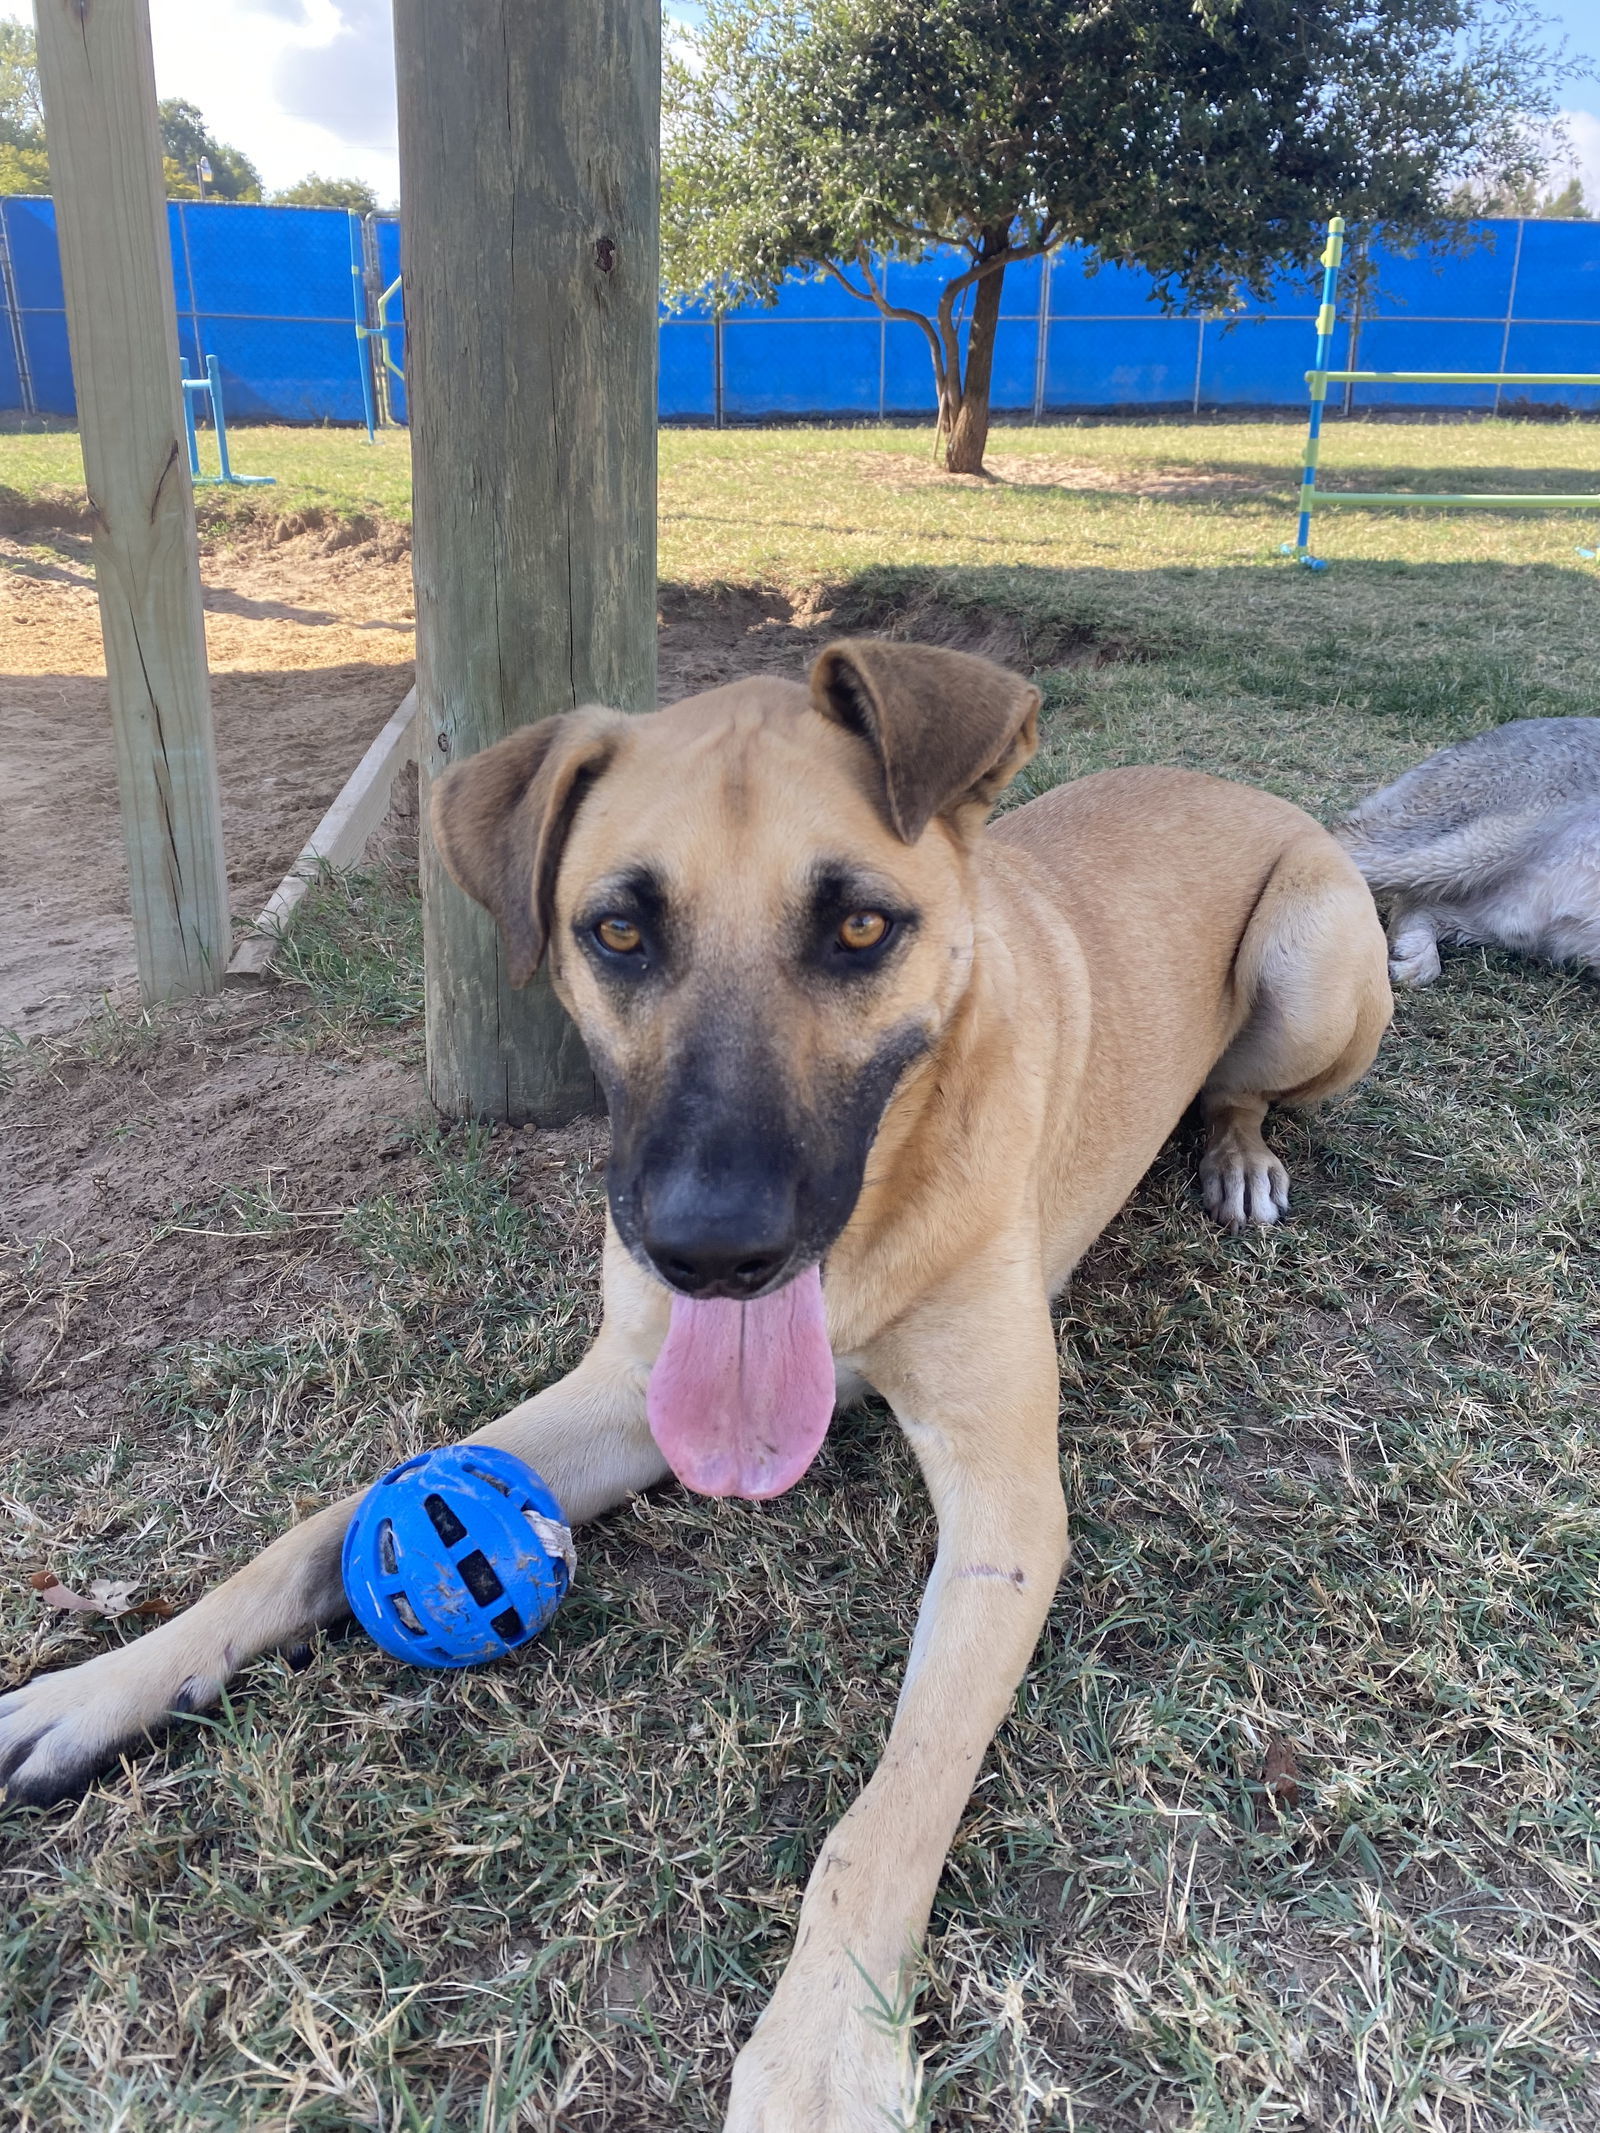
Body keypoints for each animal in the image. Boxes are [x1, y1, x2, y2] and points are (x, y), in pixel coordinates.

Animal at [3, 639, 1390, 2124]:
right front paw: (103, 1685)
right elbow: (312, 1533)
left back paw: (1238, 1155)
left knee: (1251, 1092)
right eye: (617, 933)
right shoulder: (624, 1392)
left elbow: (890, 1806)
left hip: (1310, 964)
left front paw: (828, 2050)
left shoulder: (1008, 1518)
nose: (711, 1250)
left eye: (861, 930)